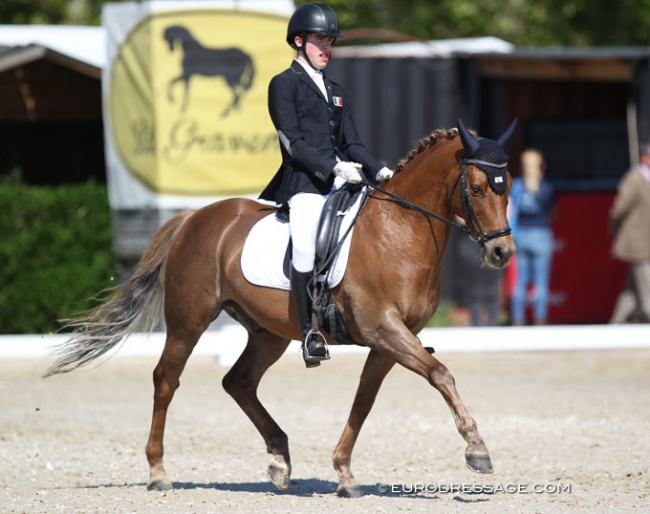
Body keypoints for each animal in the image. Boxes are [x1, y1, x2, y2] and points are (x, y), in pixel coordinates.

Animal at [45, 119, 516, 496]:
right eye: (477, 189)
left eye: (507, 189)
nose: (502, 252)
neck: (399, 230)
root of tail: (193, 218)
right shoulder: (384, 329)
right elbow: (441, 374)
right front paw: (477, 449)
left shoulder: (392, 340)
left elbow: (364, 401)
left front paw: (345, 474)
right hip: (188, 321)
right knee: (167, 379)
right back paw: (159, 473)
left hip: (268, 332)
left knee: (238, 381)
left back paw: (279, 460)